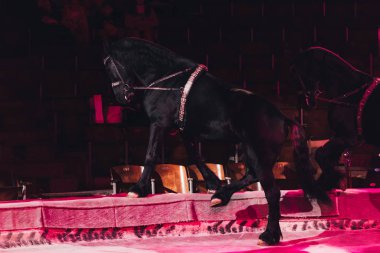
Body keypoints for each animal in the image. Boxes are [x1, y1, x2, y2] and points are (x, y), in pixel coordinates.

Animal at [102, 37, 328, 245]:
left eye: (109, 67)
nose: (122, 97)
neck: (168, 81)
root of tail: (282, 117)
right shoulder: (185, 131)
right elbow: (196, 156)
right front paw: (214, 183)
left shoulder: (159, 123)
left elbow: (151, 154)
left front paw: (137, 190)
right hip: (254, 152)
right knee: (252, 174)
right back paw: (222, 195)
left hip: (257, 153)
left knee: (271, 191)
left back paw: (269, 235)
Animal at [290, 46, 380, 191]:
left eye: (298, 72)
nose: (305, 102)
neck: (348, 91)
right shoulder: (340, 137)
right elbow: (325, 156)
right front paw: (328, 182)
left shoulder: (348, 138)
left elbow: (321, 154)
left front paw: (334, 180)